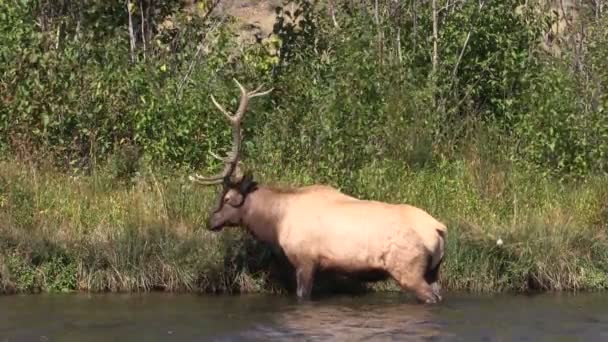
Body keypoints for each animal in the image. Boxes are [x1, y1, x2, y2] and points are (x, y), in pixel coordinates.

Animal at [192, 79, 448, 304]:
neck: (276, 223)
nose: (210, 220)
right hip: (433, 271)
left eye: (227, 198)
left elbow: (302, 296)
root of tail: (439, 229)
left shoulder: (305, 260)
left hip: (408, 269)